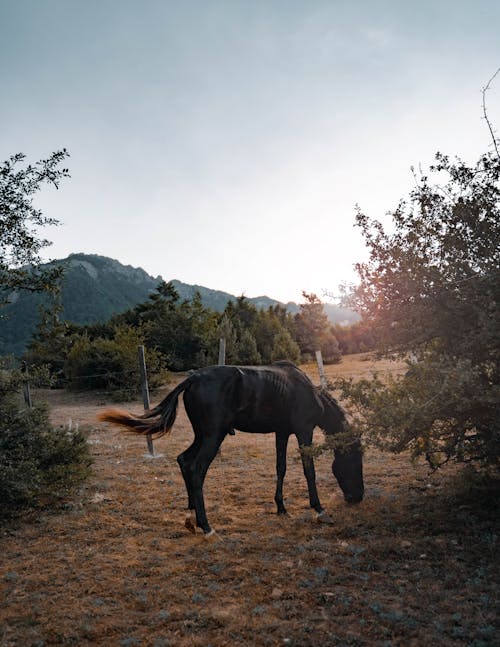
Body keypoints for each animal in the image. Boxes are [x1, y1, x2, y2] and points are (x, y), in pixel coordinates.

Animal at [97, 362, 364, 540]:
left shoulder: (282, 432)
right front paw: (319, 509)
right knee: (195, 468)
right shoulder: (303, 431)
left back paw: (192, 517)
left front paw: (281, 507)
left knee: (183, 460)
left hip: (203, 435)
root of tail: (193, 380)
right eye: (356, 459)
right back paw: (206, 526)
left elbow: (281, 468)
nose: (357, 497)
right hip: (213, 436)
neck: (307, 392)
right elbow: (309, 471)